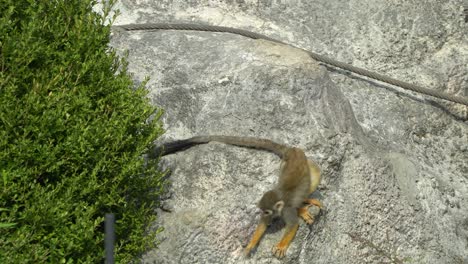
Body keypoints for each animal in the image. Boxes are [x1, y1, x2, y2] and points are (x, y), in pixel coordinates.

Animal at [154, 135, 322, 258]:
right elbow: (263, 224)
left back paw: (304, 203)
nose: (264, 213)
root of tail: (292, 150)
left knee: (315, 175)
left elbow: (293, 225)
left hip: (305, 163)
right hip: (284, 165)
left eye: (267, 210)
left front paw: (281, 246)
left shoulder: (286, 210)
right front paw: (251, 244)